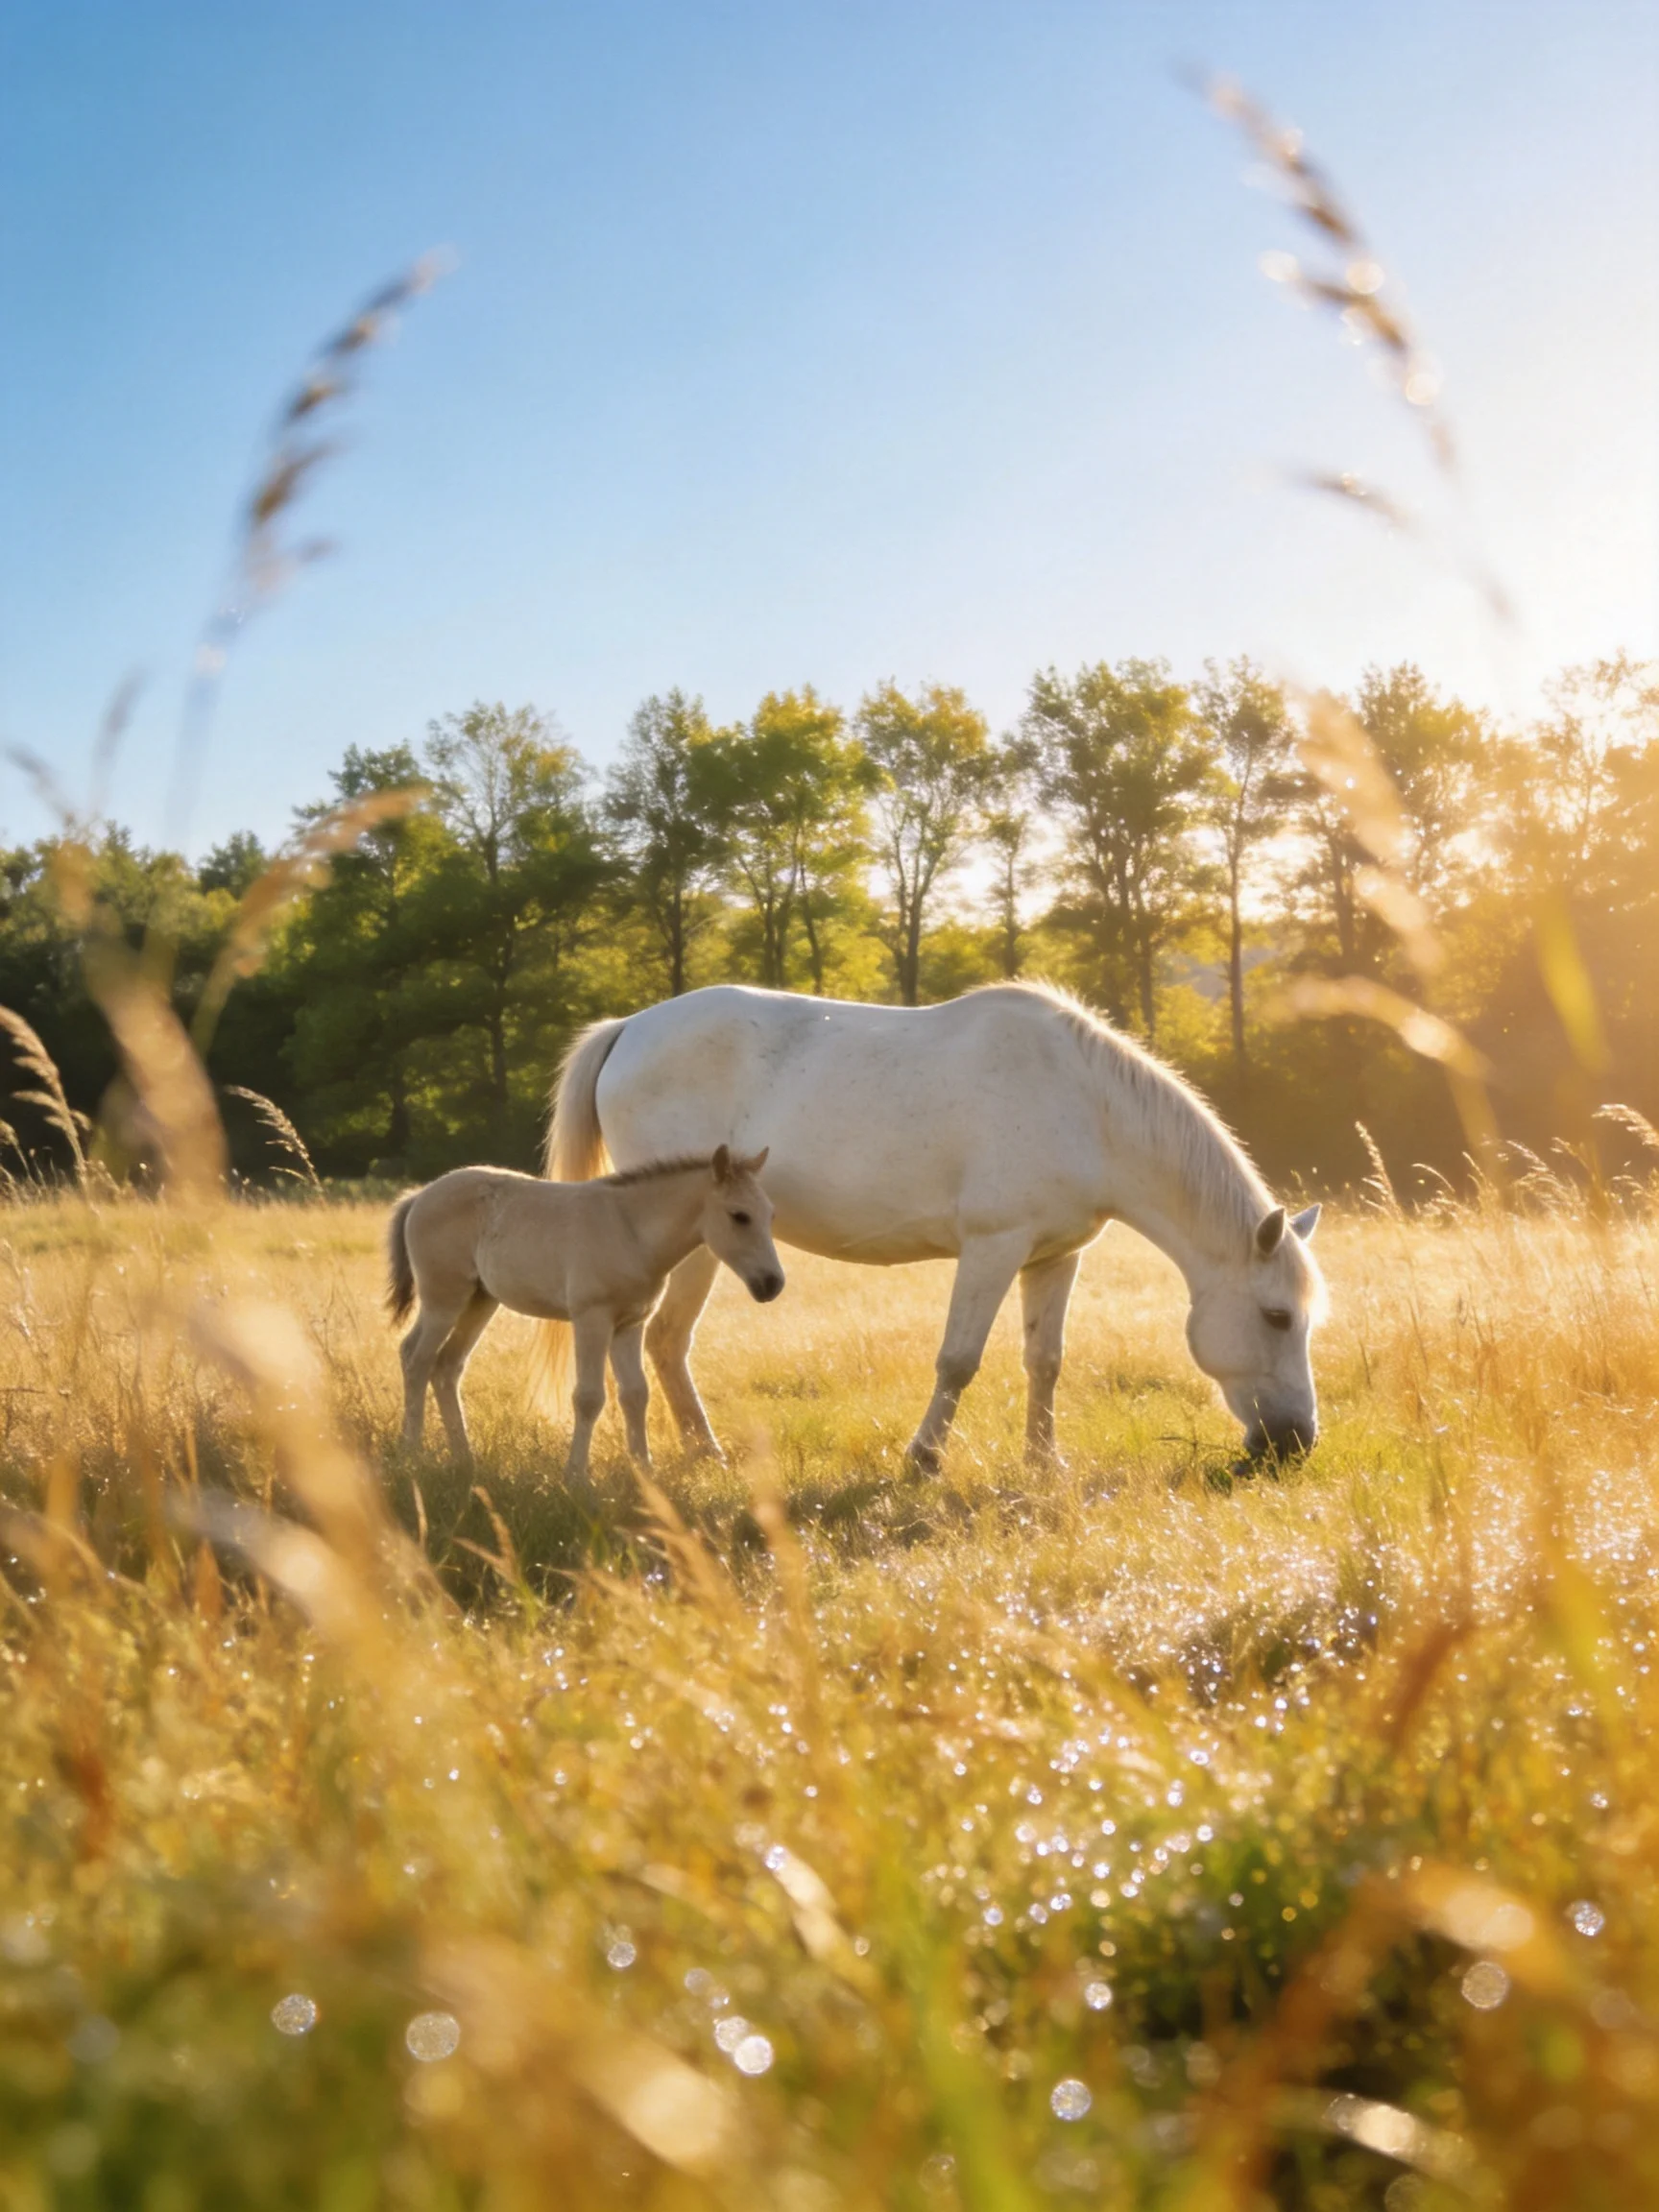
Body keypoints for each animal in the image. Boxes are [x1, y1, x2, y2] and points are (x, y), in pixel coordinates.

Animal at [387, 1146, 782, 1477]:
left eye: (771, 1214)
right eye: (739, 1216)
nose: (772, 1283)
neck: (631, 1232)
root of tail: (420, 1196)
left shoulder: (630, 1323)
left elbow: (635, 1394)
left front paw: (644, 1471)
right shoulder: (592, 1319)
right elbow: (589, 1398)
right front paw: (576, 1476)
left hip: (480, 1301)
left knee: (447, 1366)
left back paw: (463, 1456)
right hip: (444, 1300)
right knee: (416, 1357)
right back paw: (412, 1449)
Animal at [544, 982, 1323, 1471]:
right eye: (1277, 1316)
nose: (1297, 1443)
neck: (1085, 1105)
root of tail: (628, 1029)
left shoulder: (1055, 1258)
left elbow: (1045, 1361)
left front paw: (1044, 1461)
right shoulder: (992, 1247)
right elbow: (958, 1360)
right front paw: (922, 1459)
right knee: (666, 1342)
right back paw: (705, 1455)